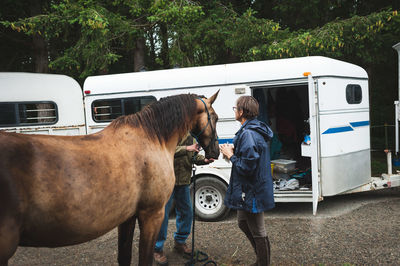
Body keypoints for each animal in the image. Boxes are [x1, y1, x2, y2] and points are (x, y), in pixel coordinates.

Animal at [0, 91, 219, 264]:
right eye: (215, 118)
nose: (215, 152)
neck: (153, 138)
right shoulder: (152, 214)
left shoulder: (128, 216)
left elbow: (124, 257)